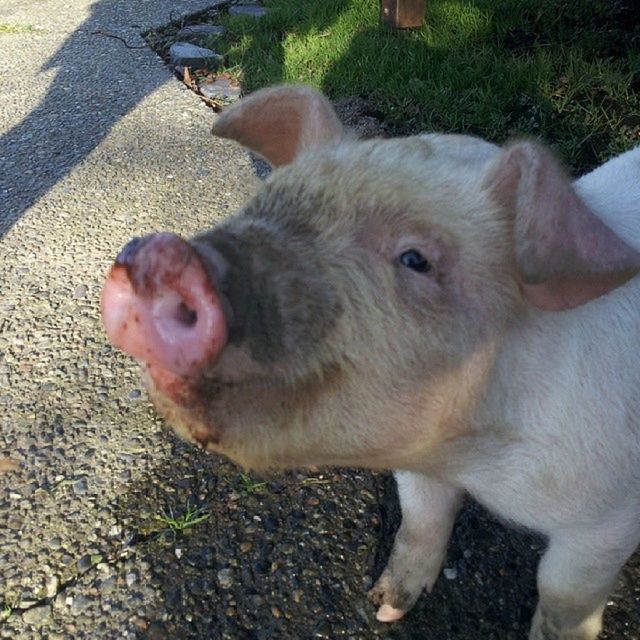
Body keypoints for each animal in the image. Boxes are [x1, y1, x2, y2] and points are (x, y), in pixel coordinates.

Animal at [100, 86, 640, 640]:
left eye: (416, 259)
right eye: (262, 202)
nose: (159, 255)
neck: (471, 461)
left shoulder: (609, 517)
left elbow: (562, 596)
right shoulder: (419, 467)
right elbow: (421, 519)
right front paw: (385, 608)